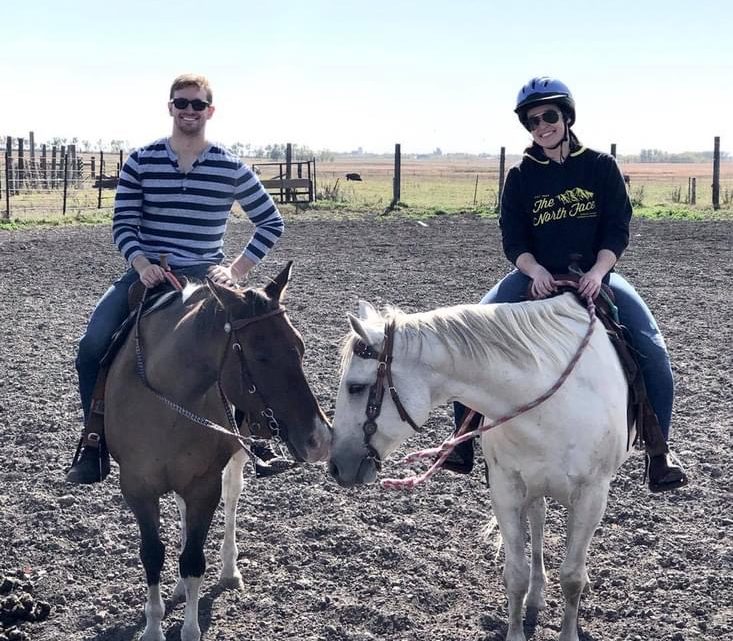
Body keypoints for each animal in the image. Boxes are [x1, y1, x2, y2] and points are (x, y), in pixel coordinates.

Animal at [104, 262, 330, 640]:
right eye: (261, 355)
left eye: (299, 347)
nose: (320, 440)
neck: (166, 398)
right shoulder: (136, 486)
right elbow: (152, 554)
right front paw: (153, 627)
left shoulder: (203, 485)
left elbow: (194, 559)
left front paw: (190, 628)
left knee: (232, 496)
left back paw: (228, 570)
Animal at [328, 296, 632, 640]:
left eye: (355, 387)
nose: (336, 465)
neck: (551, 408)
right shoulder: (506, 488)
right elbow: (516, 574)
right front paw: (516, 631)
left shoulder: (592, 496)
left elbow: (571, 577)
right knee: (538, 521)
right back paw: (536, 595)